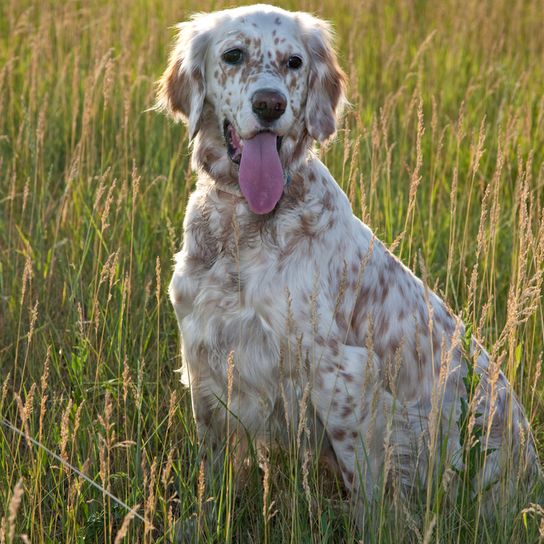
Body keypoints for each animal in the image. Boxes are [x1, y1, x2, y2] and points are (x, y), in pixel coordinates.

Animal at [157, 2, 540, 524]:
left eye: (294, 62)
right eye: (233, 55)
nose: (270, 105)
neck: (245, 224)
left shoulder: (343, 375)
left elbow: (366, 493)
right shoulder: (204, 357)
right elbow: (211, 468)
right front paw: (206, 518)